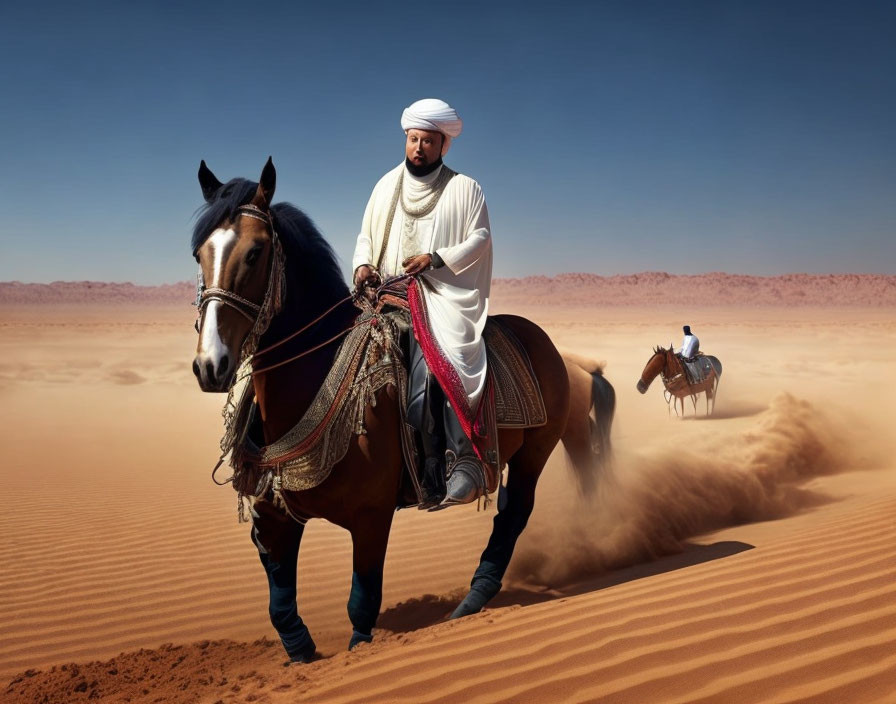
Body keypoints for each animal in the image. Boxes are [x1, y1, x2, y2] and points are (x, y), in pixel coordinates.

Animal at [186, 158, 612, 660]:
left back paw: (472, 599)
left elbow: (361, 605)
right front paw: (303, 650)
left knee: (514, 515)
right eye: (199, 255)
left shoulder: (371, 516)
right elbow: (281, 609)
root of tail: (551, 347)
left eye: (255, 252)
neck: (310, 384)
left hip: (536, 452)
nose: (210, 365)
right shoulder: (274, 517)